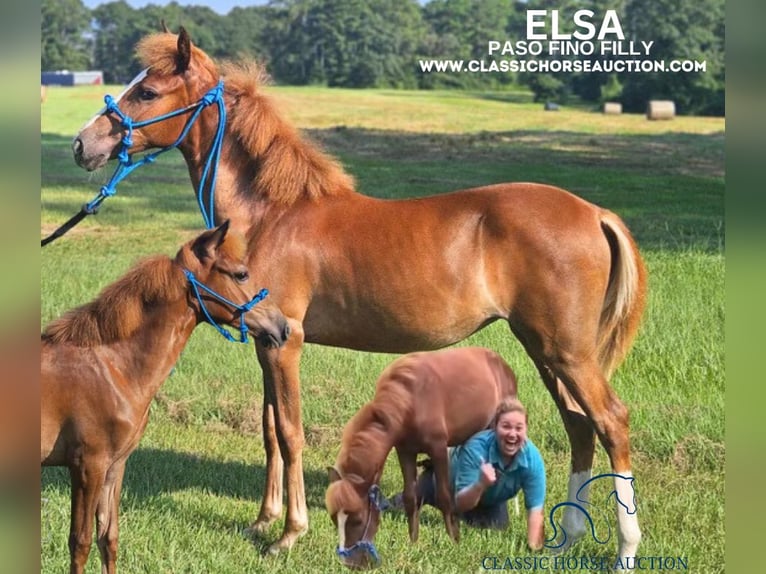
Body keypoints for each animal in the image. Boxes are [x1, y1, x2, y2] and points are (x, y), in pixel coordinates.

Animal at [41, 224, 292, 574]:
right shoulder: (87, 466)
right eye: (241, 274)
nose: (282, 328)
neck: (112, 367)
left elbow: (108, 538)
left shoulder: (115, 466)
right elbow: (80, 543)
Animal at [328, 346, 520, 572]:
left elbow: (444, 496)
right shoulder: (405, 452)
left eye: (357, 520)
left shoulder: (438, 449)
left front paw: (454, 540)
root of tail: (501, 363)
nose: (350, 563)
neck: (409, 401)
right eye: (334, 519)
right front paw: (413, 542)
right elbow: (411, 497)